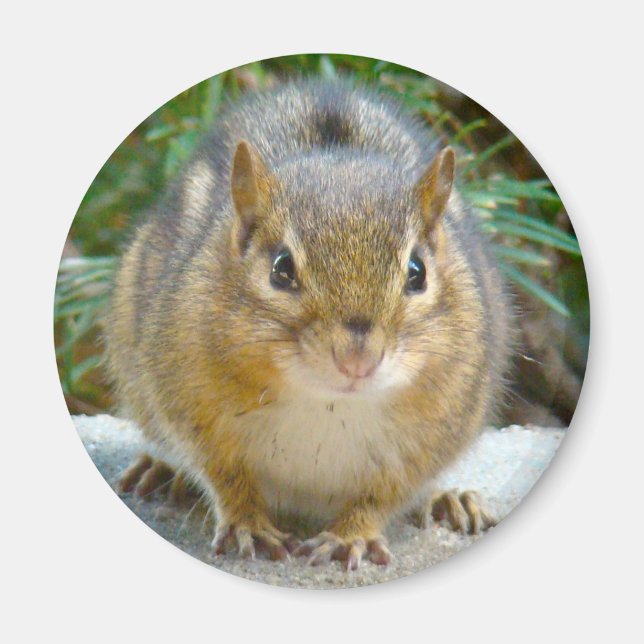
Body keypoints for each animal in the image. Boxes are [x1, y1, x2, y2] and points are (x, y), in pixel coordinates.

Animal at [106, 79, 514, 570]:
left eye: (417, 272)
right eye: (281, 269)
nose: (357, 360)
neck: (327, 403)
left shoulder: (435, 431)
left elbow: (384, 494)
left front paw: (351, 536)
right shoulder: (190, 403)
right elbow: (224, 474)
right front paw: (248, 524)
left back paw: (449, 500)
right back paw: (161, 471)